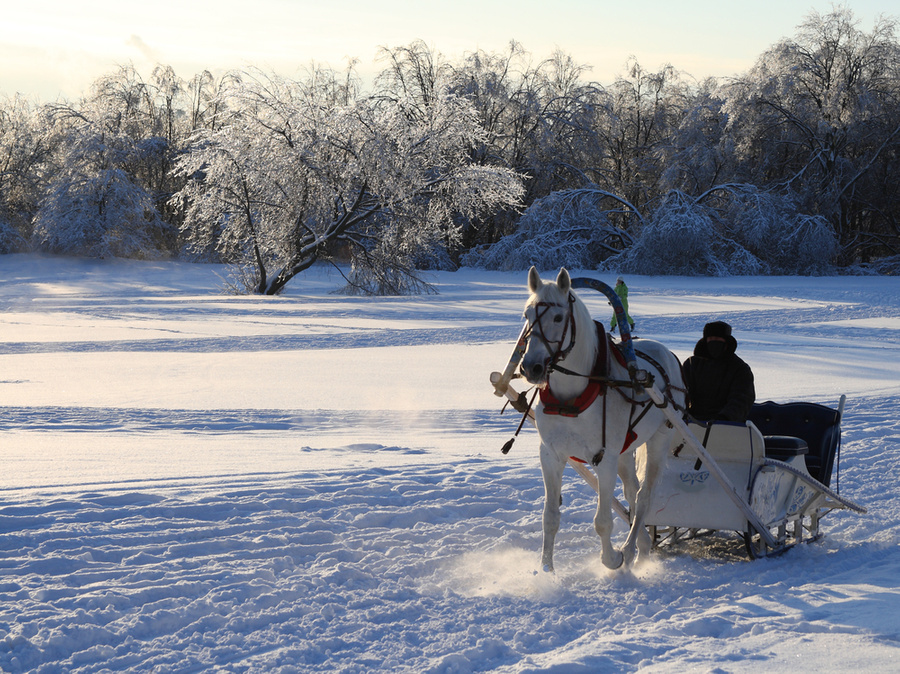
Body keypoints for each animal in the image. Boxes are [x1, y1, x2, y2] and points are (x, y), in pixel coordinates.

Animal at [516, 266, 684, 568]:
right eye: (527, 316)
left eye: (558, 317)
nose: (530, 367)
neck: (571, 399)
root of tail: (667, 353)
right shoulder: (551, 455)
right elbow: (550, 518)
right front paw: (546, 570)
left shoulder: (604, 458)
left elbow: (603, 522)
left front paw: (613, 558)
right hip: (626, 450)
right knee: (632, 491)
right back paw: (642, 546)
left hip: (659, 439)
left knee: (644, 497)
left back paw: (629, 548)